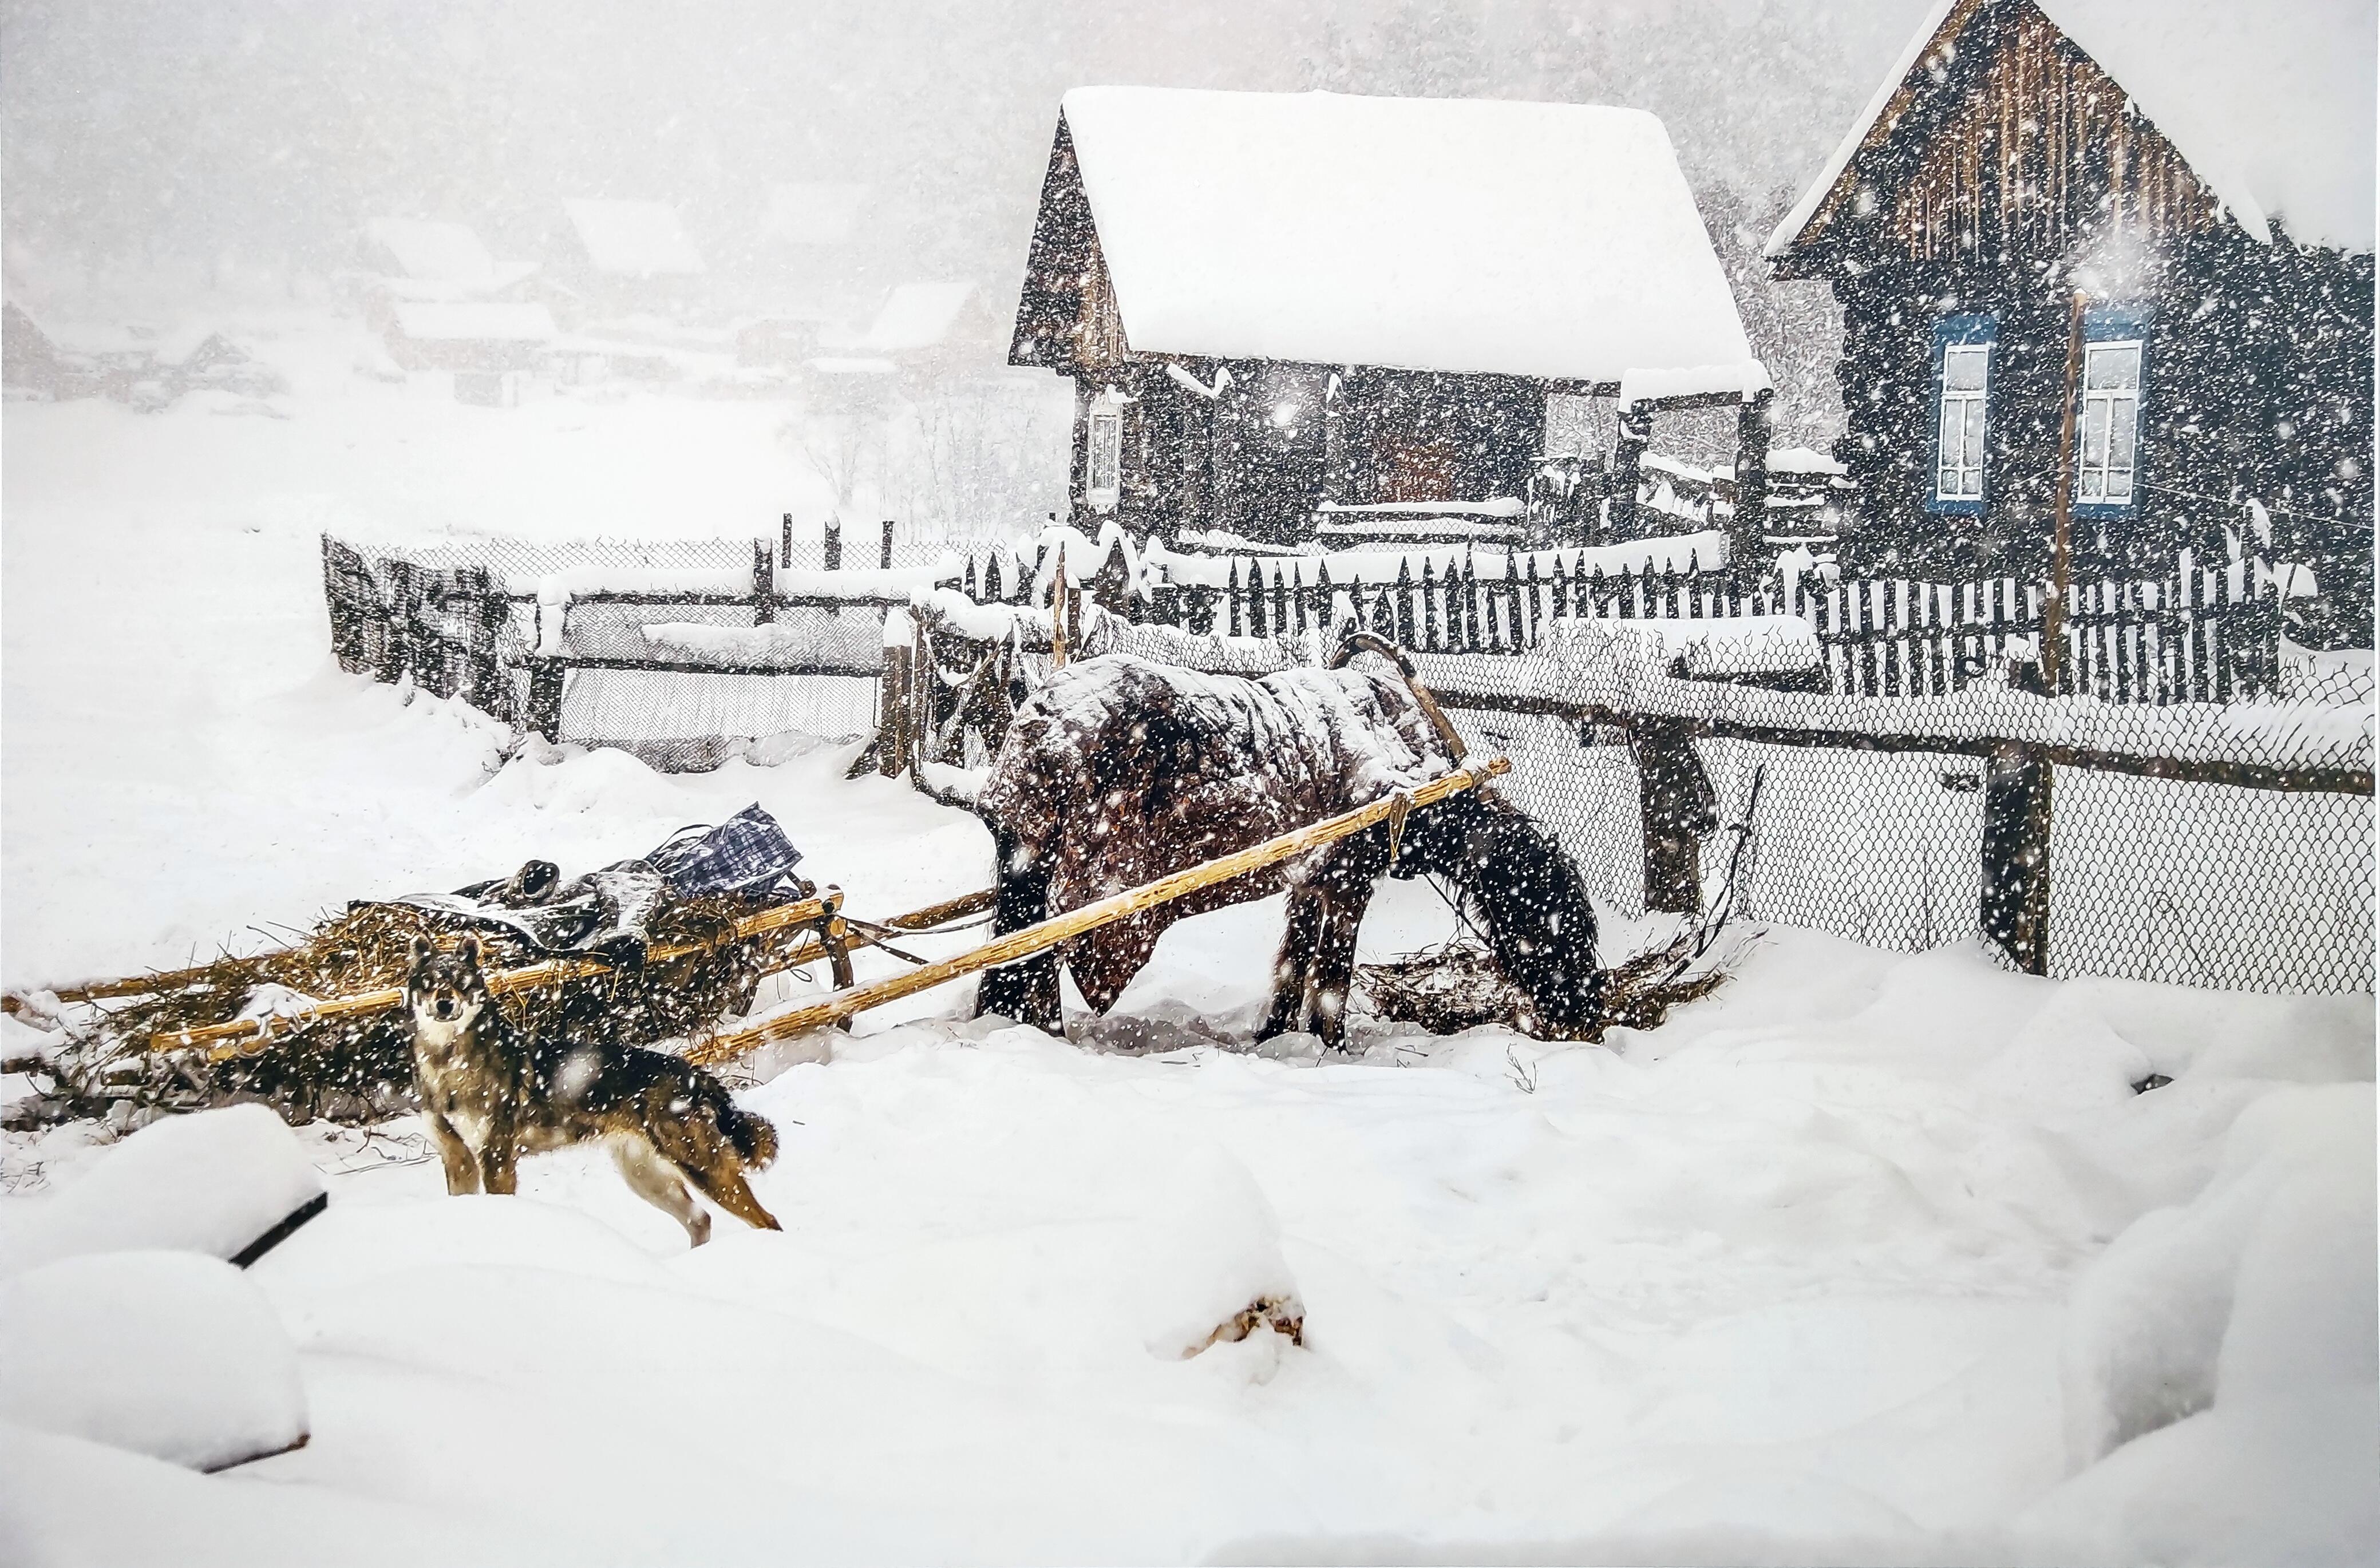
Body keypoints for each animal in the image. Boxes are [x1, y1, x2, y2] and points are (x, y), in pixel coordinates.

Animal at [404, 932, 785, 1246]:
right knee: (700, 1220)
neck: (448, 1063)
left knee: (766, 1220)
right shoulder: (458, 1159)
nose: (444, 1005)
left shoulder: (496, 1157)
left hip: (700, 1166)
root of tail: (694, 1072)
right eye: (429, 983)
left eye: (461, 984)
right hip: (645, 1176)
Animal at [966, 638, 1599, 1056]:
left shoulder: (1311, 883)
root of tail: (1035, 726)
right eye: (1564, 925)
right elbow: (1332, 982)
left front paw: (1272, 1038)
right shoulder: (1350, 885)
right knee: (1034, 964)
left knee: (1011, 964)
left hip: (1025, 873)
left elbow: (1292, 970)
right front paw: (1331, 1050)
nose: (1589, 1018)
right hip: (1063, 883)